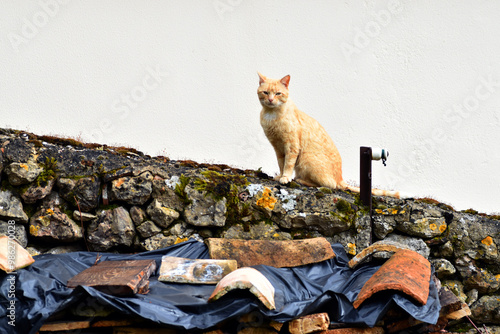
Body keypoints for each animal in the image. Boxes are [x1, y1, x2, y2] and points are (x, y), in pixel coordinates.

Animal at [258, 72, 402, 198]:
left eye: (278, 93)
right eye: (265, 93)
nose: (270, 99)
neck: (271, 115)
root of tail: (340, 178)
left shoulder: (291, 146)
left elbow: (288, 164)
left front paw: (286, 177)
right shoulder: (278, 147)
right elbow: (281, 163)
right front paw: (281, 175)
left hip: (306, 159)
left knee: (329, 185)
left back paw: (300, 180)